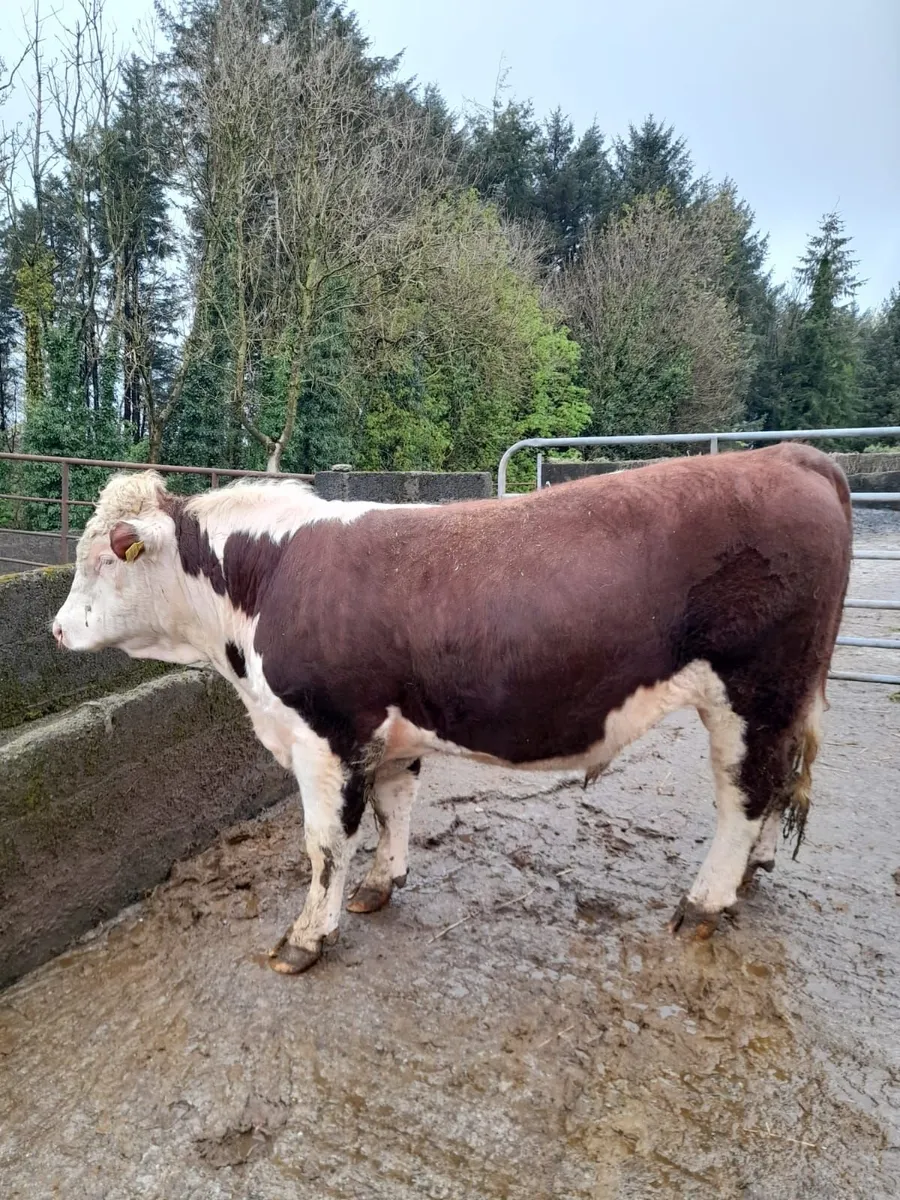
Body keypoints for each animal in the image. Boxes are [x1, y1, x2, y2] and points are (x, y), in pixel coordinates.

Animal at [52, 443, 852, 974]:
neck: (263, 578)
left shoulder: (327, 736)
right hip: (785, 696)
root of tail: (791, 455)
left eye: (103, 558)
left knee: (745, 793)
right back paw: (751, 875)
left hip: (754, 690)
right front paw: (382, 884)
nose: (56, 629)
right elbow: (392, 809)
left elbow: (323, 845)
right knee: (779, 782)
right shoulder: (391, 732)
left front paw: (306, 938)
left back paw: (706, 903)